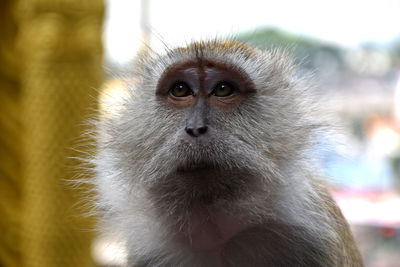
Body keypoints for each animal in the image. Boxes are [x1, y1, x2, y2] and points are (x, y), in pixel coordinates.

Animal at [91, 40, 366, 267]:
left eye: (223, 89)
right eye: (180, 90)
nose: (195, 128)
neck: (217, 235)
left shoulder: (313, 239)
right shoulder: (146, 251)